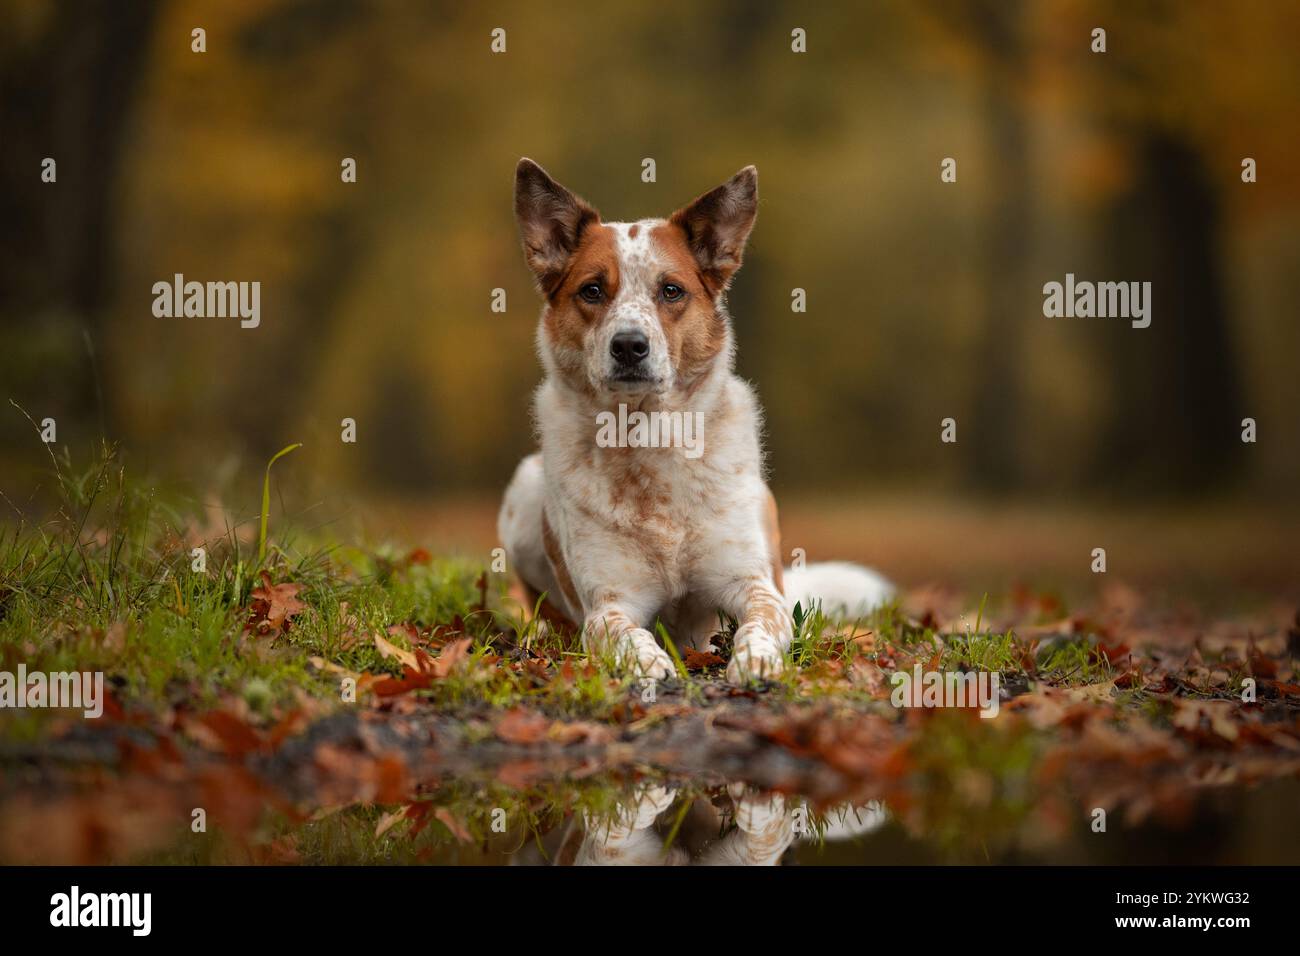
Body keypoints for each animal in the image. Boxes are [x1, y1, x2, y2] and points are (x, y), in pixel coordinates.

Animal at [496, 158, 894, 681]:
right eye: (592, 290)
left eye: (671, 290)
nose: (629, 345)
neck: (647, 441)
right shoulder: (610, 602)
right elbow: (620, 632)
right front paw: (646, 661)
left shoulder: (751, 583)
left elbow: (764, 619)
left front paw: (755, 658)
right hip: (523, 490)